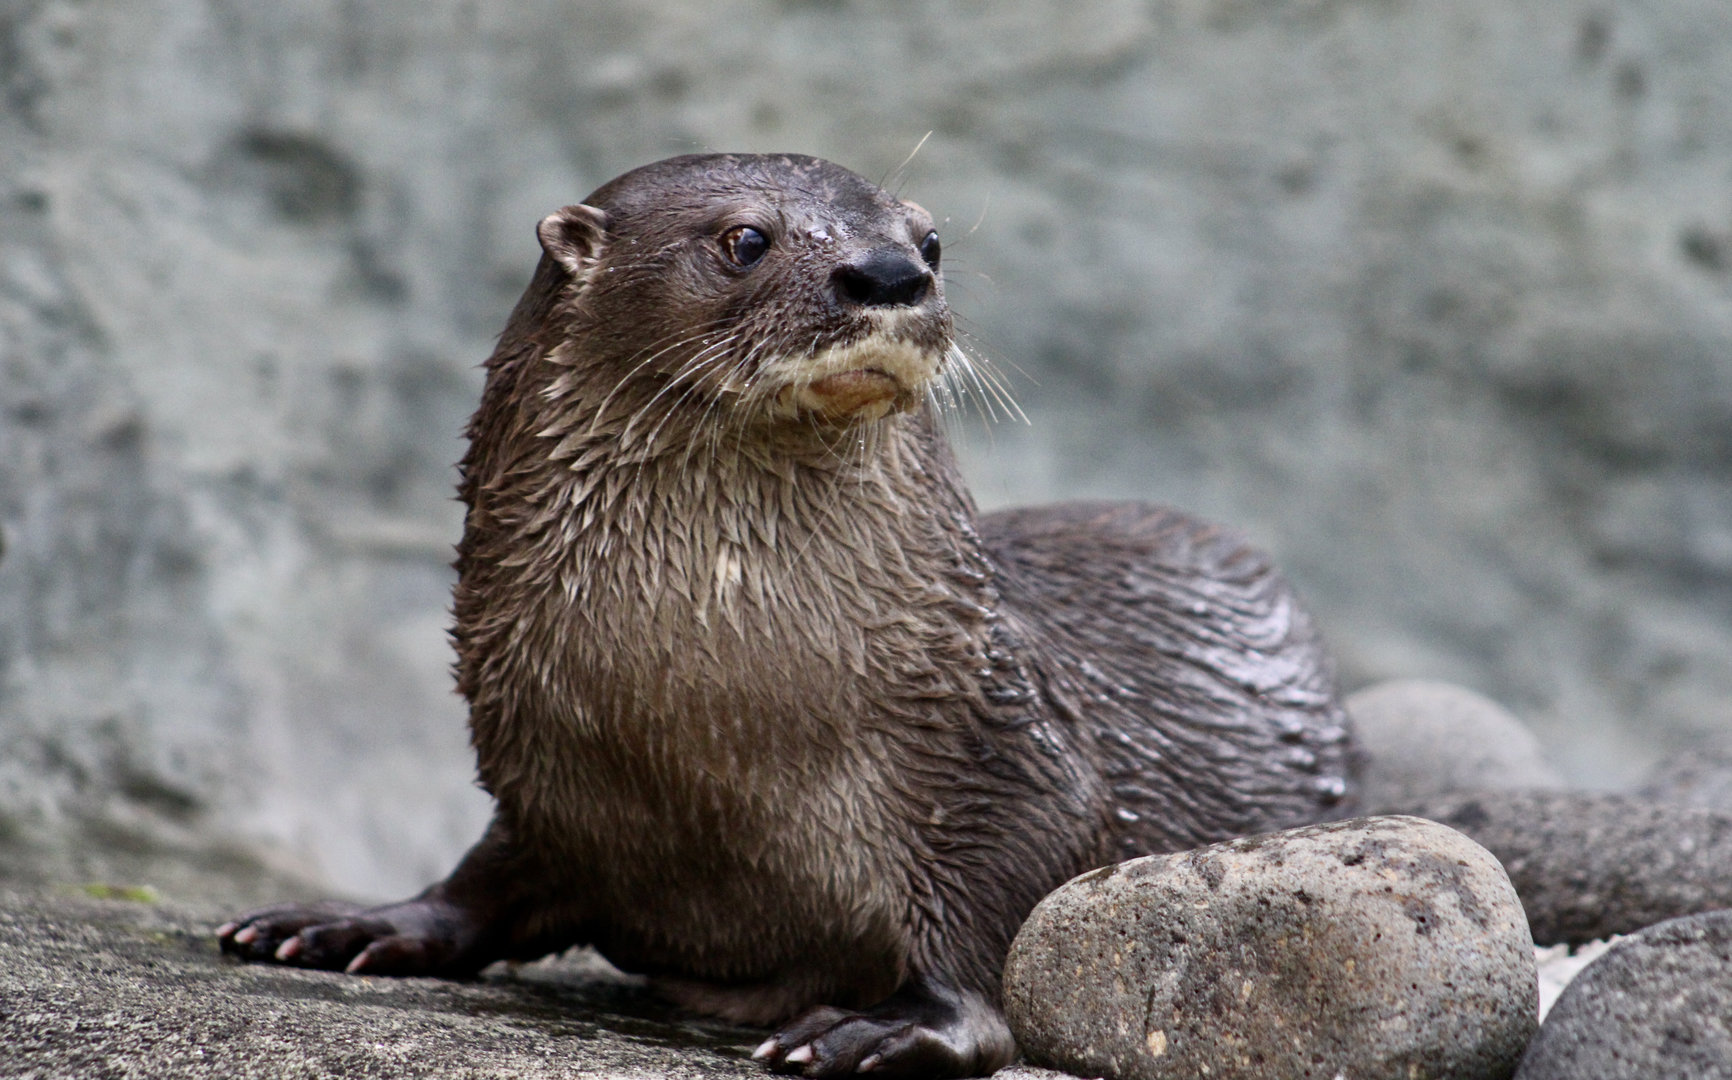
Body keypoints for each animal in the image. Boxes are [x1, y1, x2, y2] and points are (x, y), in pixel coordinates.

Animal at [219, 154, 1357, 1078]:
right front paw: (350, 924)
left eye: (929, 239)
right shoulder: (536, 769)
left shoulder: (1003, 746)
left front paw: (886, 1025)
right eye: (744, 239)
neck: (706, 720)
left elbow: (1005, 904)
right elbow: (484, 880)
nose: (891, 274)